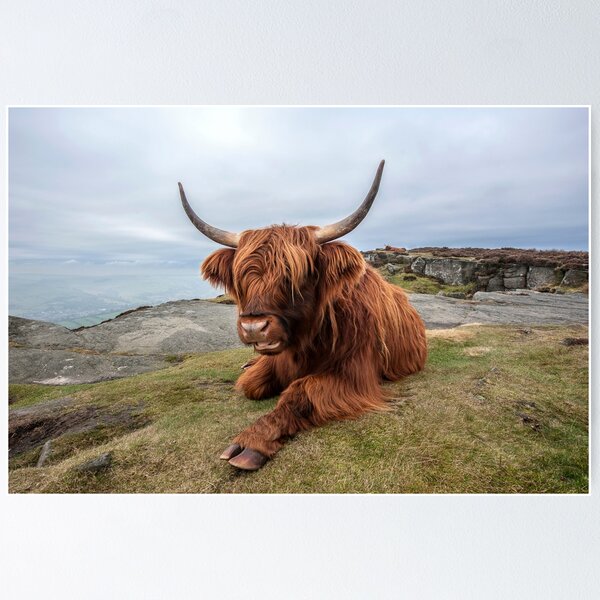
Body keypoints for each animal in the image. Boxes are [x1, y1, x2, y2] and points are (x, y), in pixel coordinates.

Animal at [178, 162, 426, 472]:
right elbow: (251, 385)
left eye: (292, 276)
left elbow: (301, 392)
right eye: (241, 278)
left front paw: (251, 442)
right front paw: (251, 371)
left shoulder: (355, 374)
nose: (254, 327)